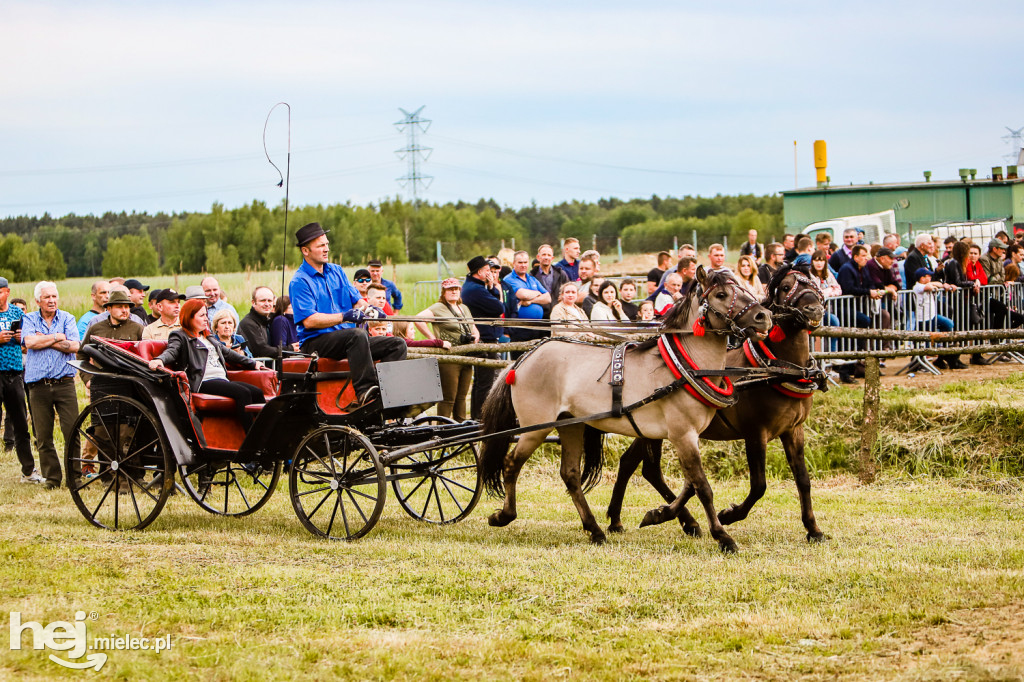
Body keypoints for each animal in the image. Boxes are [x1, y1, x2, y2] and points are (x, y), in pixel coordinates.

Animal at [479, 268, 770, 548]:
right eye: (721, 294)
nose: (764, 316)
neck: (681, 366)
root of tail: (522, 359)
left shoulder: (688, 436)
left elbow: (690, 484)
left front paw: (660, 514)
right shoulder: (682, 434)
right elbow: (702, 486)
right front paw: (722, 536)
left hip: (571, 424)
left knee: (570, 474)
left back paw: (595, 530)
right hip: (535, 428)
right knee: (511, 464)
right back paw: (504, 515)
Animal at [602, 262, 827, 540]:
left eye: (814, 281)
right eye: (786, 287)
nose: (814, 309)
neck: (775, 370)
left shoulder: (794, 430)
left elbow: (803, 479)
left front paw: (813, 529)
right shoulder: (755, 433)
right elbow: (758, 485)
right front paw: (729, 515)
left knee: (630, 463)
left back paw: (620, 518)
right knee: (649, 469)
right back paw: (675, 518)